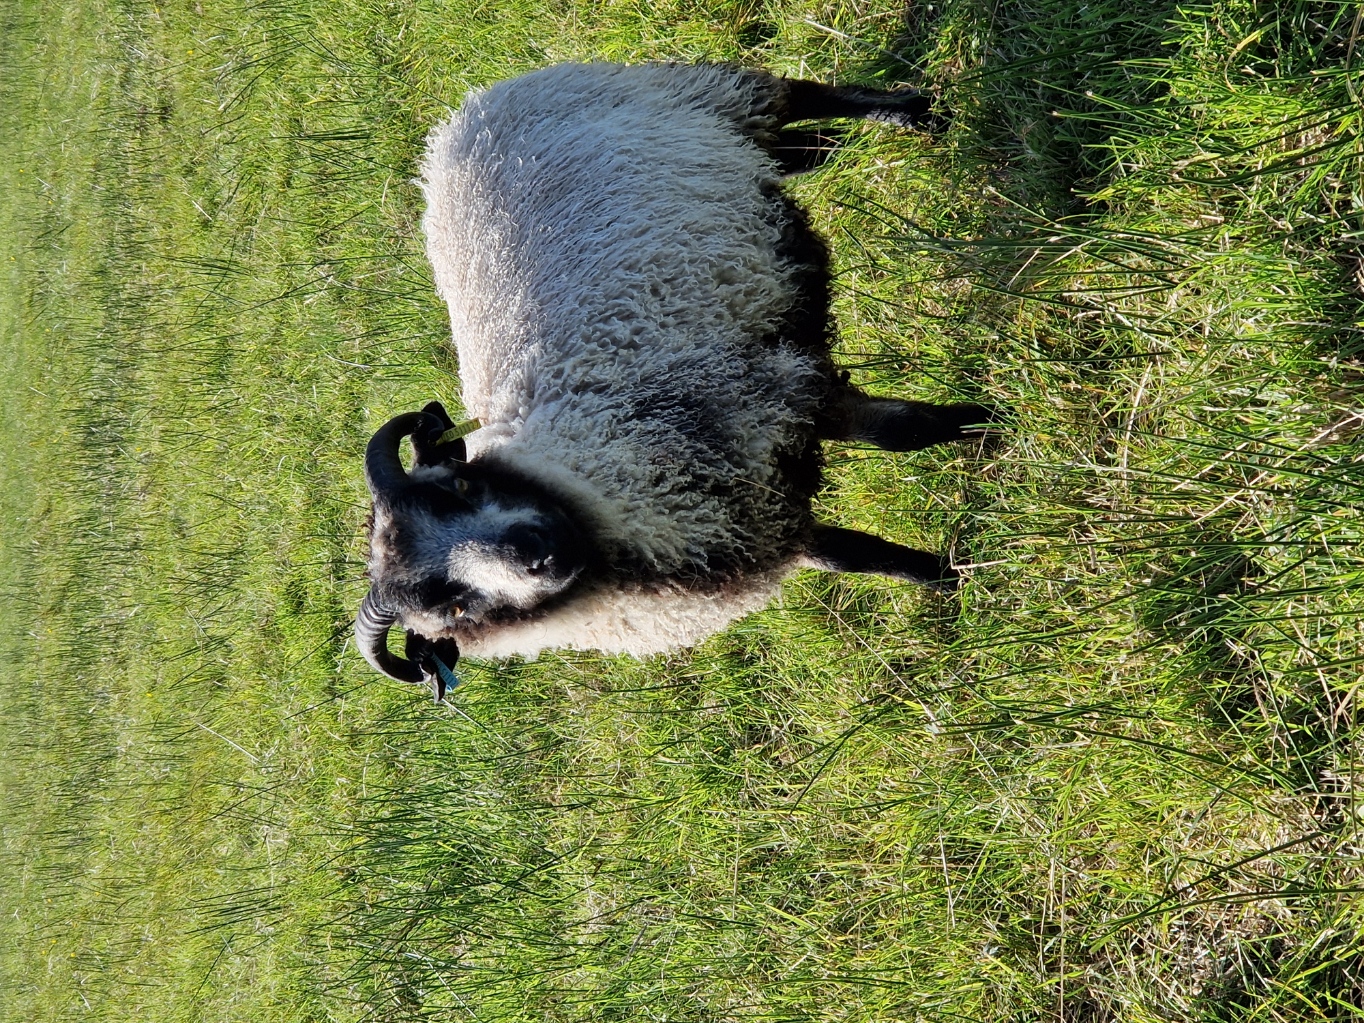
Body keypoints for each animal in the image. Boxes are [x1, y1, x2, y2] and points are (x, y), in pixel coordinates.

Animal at [355, 62, 995, 699]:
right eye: (455, 607)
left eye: (461, 485)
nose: (532, 553)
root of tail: (459, 119)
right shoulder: (754, 521)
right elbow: (851, 556)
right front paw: (947, 577)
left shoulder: (771, 390)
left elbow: (901, 432)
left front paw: (991, 422)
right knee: (783, 150)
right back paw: (828, 149)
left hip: (702, 91)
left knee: (803, 95)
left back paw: (913, 116)